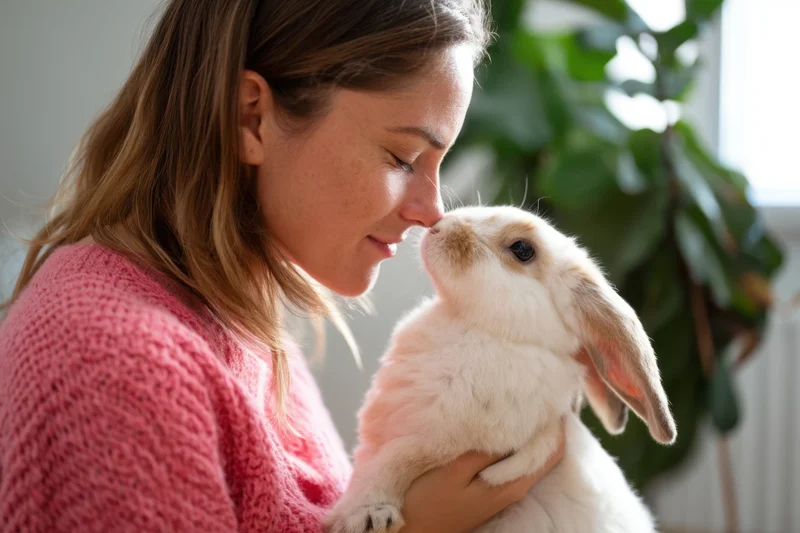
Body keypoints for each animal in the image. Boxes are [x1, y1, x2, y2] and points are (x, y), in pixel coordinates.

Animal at [325, 205, 677, 533]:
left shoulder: (441, 443)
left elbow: (393, 463)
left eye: (522, 249)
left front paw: (364, 514)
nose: (439, 225)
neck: (487, 332)